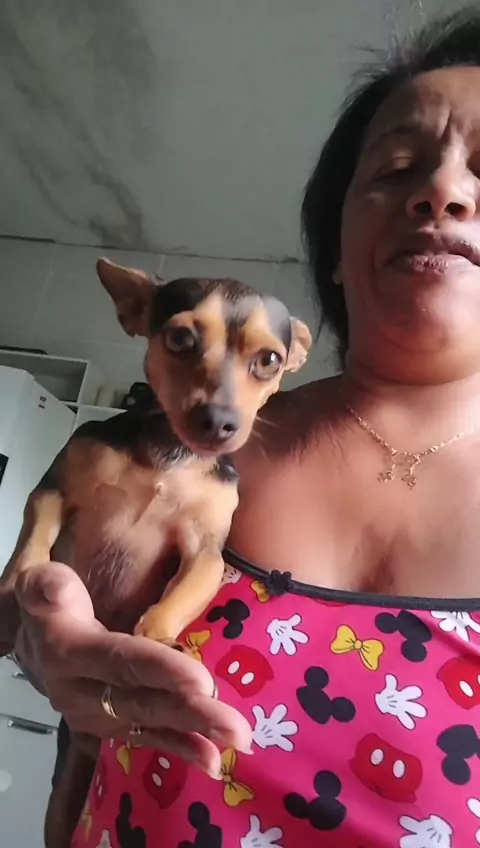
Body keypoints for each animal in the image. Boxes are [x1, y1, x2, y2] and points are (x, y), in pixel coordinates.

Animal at [0, 257, 312, 847]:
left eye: (269, 361)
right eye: (181, 338)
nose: (219, 421)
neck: (173, 455)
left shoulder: (205, 555)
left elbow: (177, 597)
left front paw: (160, 637)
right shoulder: (54, 491)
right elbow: (33, 543)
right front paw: (12, 597)